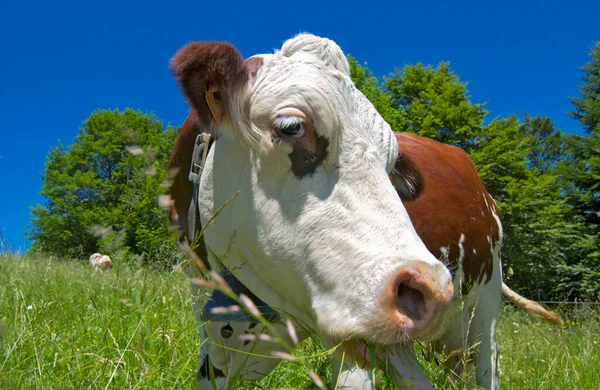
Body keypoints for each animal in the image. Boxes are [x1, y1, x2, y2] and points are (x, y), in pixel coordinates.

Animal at [165, 34, 564, 390]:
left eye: (390, 161)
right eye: (291, 127)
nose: (431, 288)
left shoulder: (357, 335)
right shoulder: (207, 326)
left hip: (485, 299)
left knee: (485, 366)